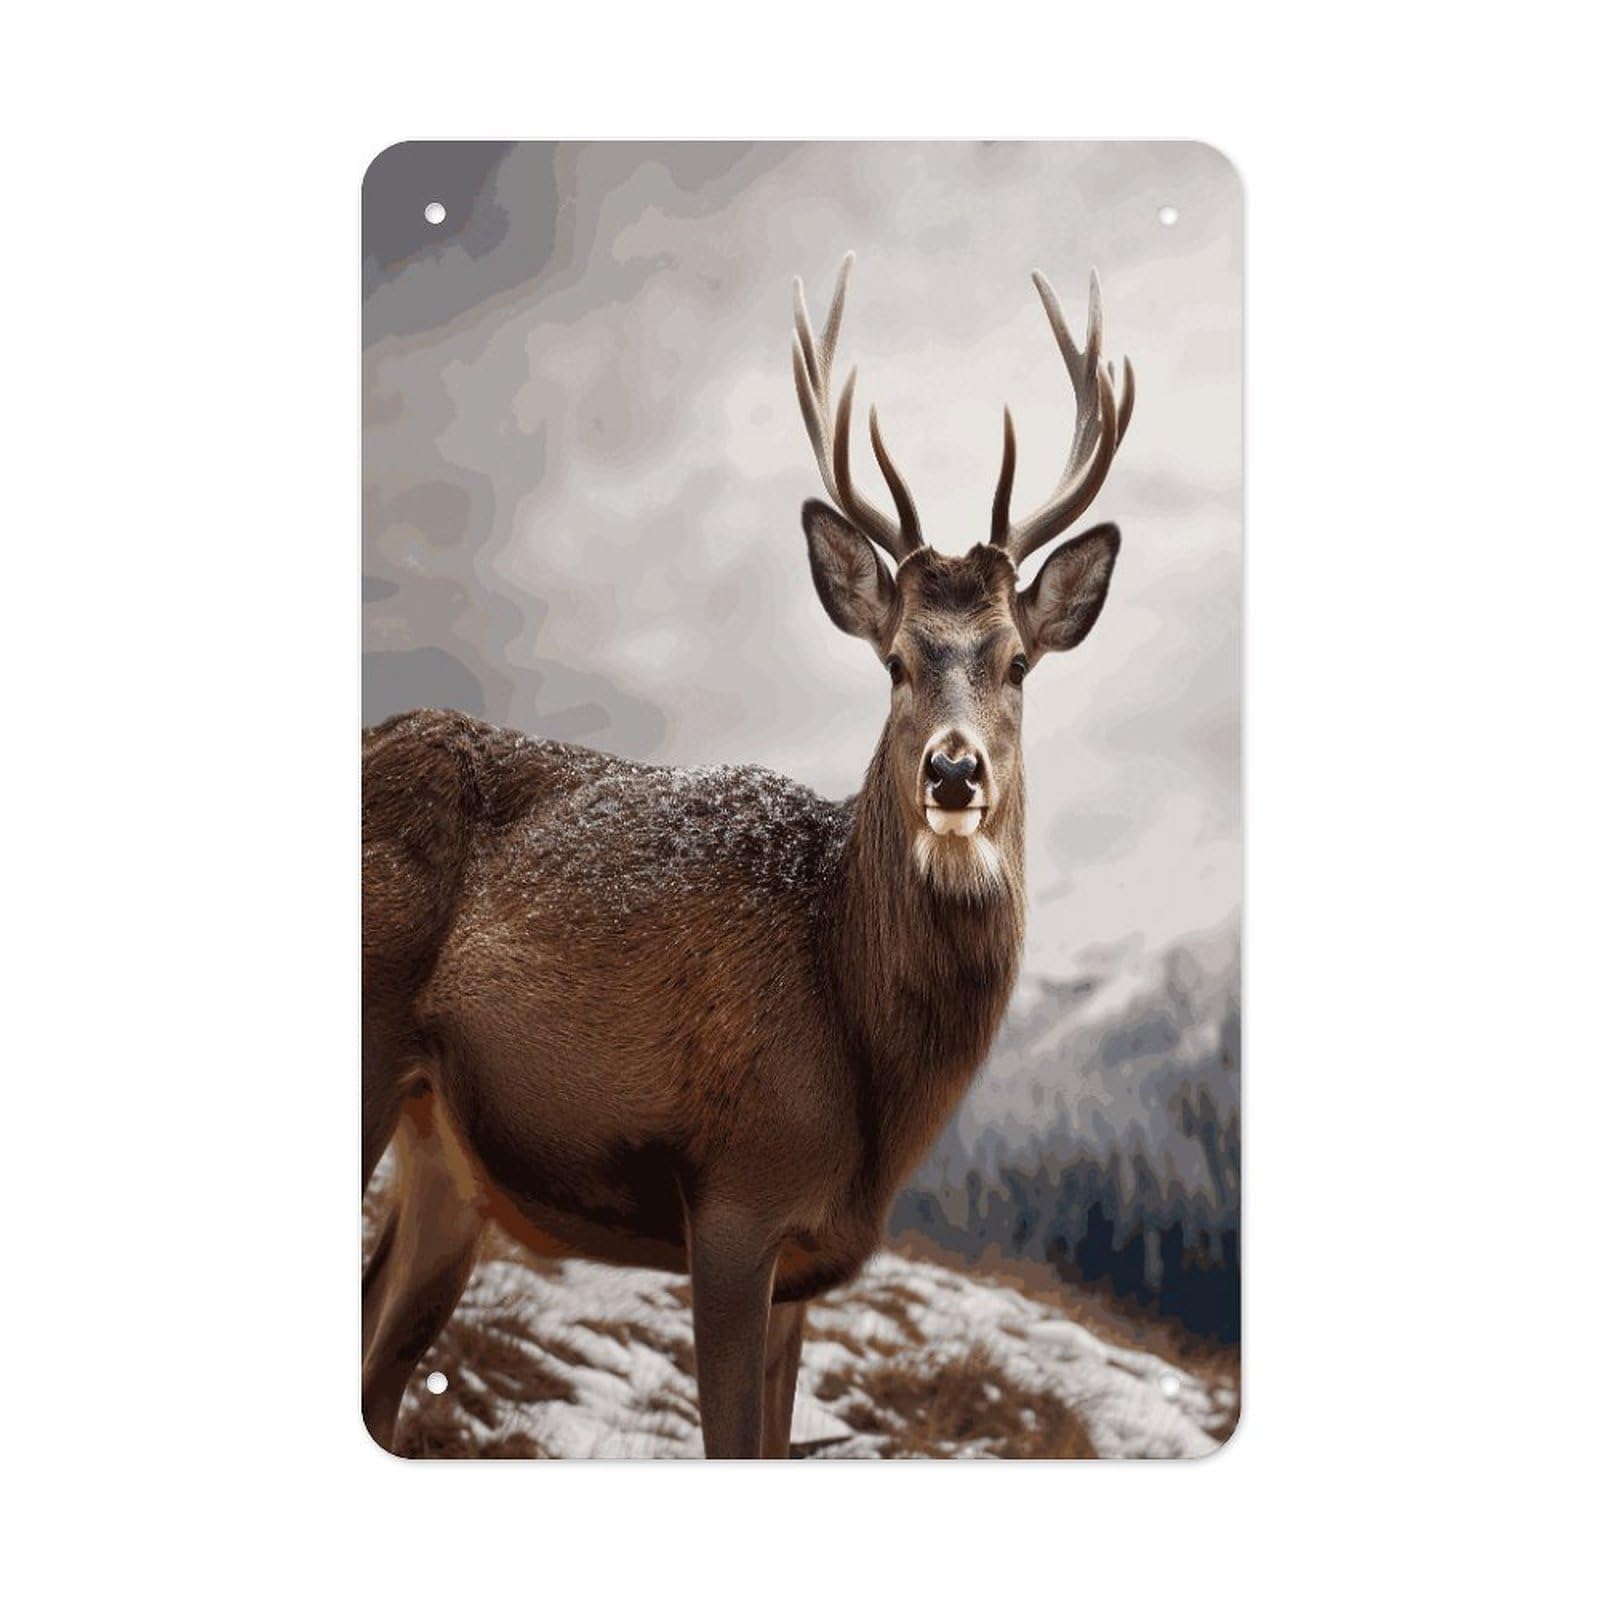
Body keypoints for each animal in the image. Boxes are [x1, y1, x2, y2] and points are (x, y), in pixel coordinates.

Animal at [361, 254, 1134, 1458]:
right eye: (896, 660)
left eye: (1017, 661)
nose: (954, 774)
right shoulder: (733, 1197)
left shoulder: (806, 1263)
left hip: (443, 1153)